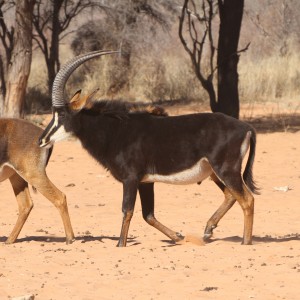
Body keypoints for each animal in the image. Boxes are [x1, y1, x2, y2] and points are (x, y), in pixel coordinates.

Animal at [38, 49, 258, 246]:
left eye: (62, 115)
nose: (41, 140)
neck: (115, 130)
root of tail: (246, 127)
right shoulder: (146, 182)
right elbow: (148, 215)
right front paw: (178, 237)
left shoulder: (131, 179)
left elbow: (127, 210)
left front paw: (120, 245)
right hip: (214, 172)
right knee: (231, 195)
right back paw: (208, 230)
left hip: (226, 170)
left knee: (247, 199)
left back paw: (245, 242)